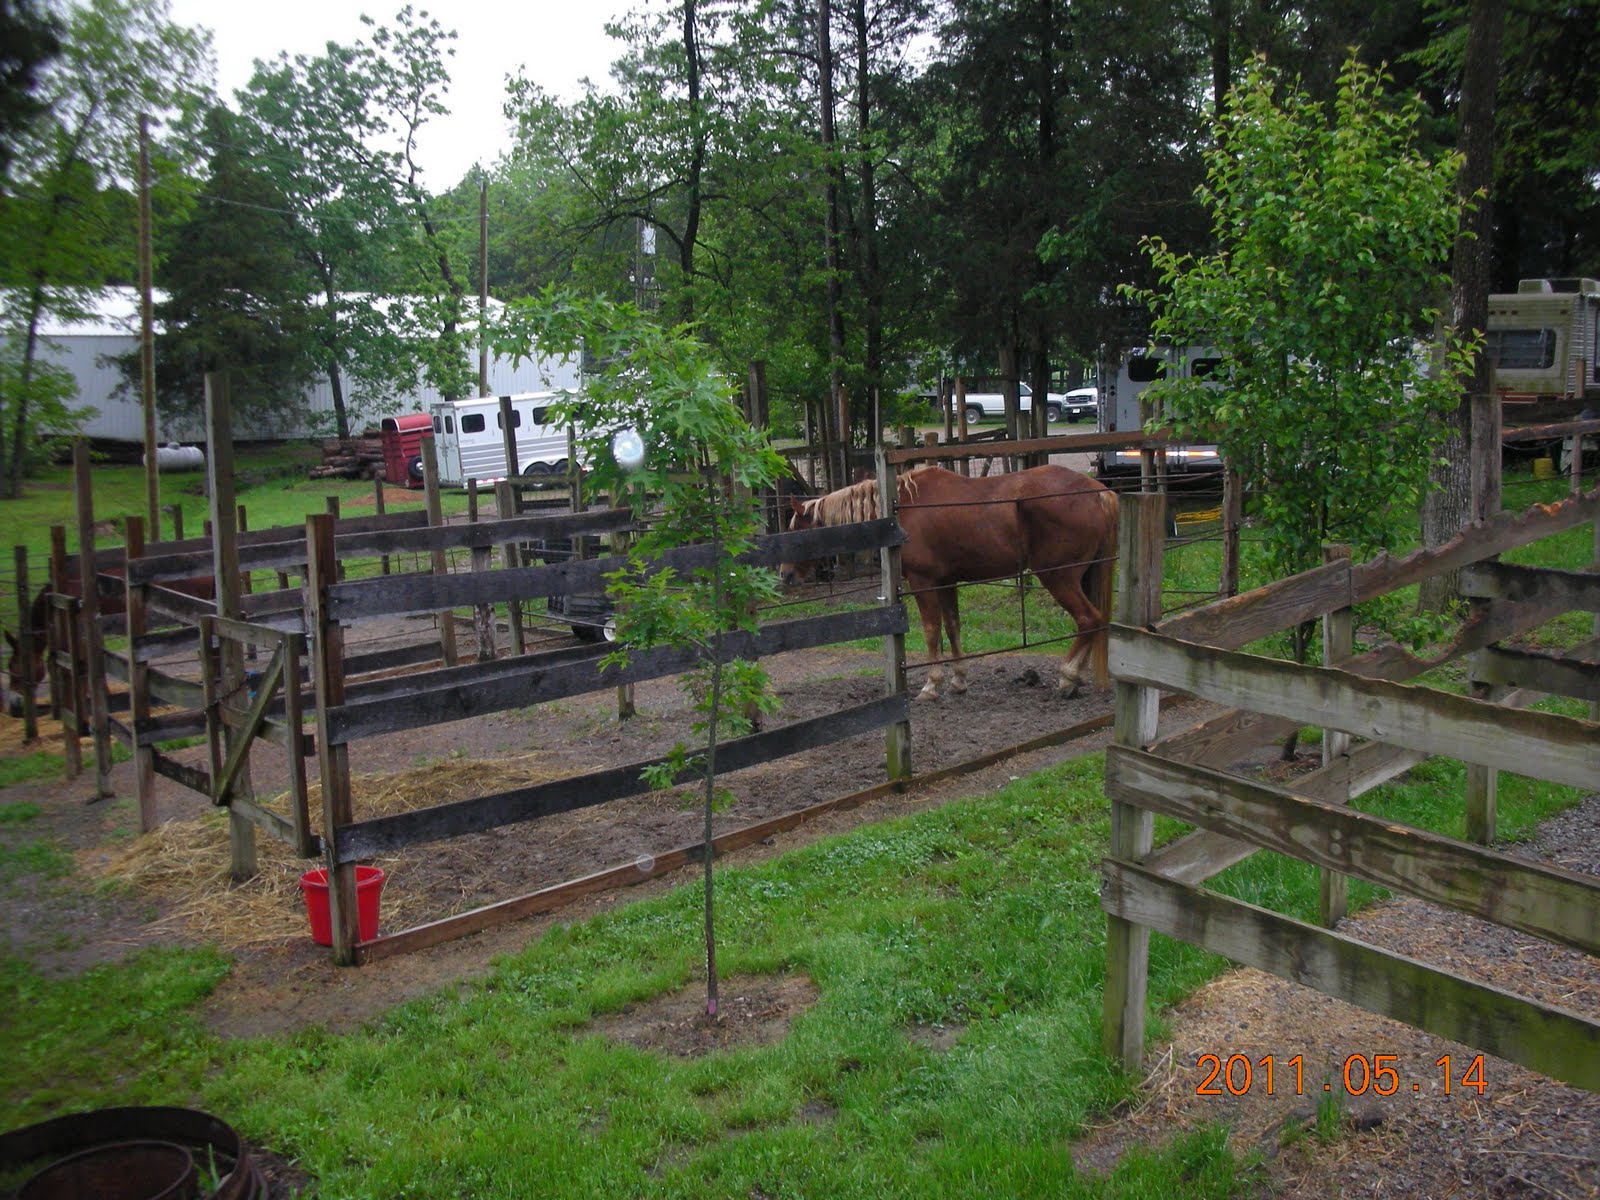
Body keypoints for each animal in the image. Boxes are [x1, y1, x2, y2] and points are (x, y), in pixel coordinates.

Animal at [779, 464, 1119, 700]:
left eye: (795, 532)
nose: (785, 574)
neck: (901, 513)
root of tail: (1099, 492)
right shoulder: (946, 583)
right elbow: (953, 627)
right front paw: (958, 680)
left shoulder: (924, 582)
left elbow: (931, 631)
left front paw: (932, 684)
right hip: (1080, 576)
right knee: (1093, 622)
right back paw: (1075, 678)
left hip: (1058, 576)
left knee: (1088, 619)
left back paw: (1067, 676)